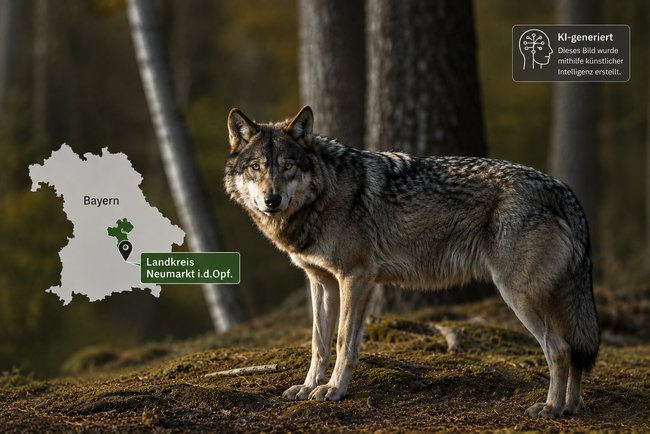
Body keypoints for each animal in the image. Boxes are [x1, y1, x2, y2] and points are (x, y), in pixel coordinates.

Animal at [224, 106, 600, 418]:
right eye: (257, 167)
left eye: (287, 166)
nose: (272, 200)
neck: (325, 193)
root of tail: (562, 188)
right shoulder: (323, 282)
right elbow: (319, 344)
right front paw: (308, 387)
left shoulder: (355, 278)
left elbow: (343, 342)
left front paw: (333, 390)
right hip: (548, 298)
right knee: (574, 350)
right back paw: (570, 408)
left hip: (518, 295)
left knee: (560, 349)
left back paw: (550, 408)